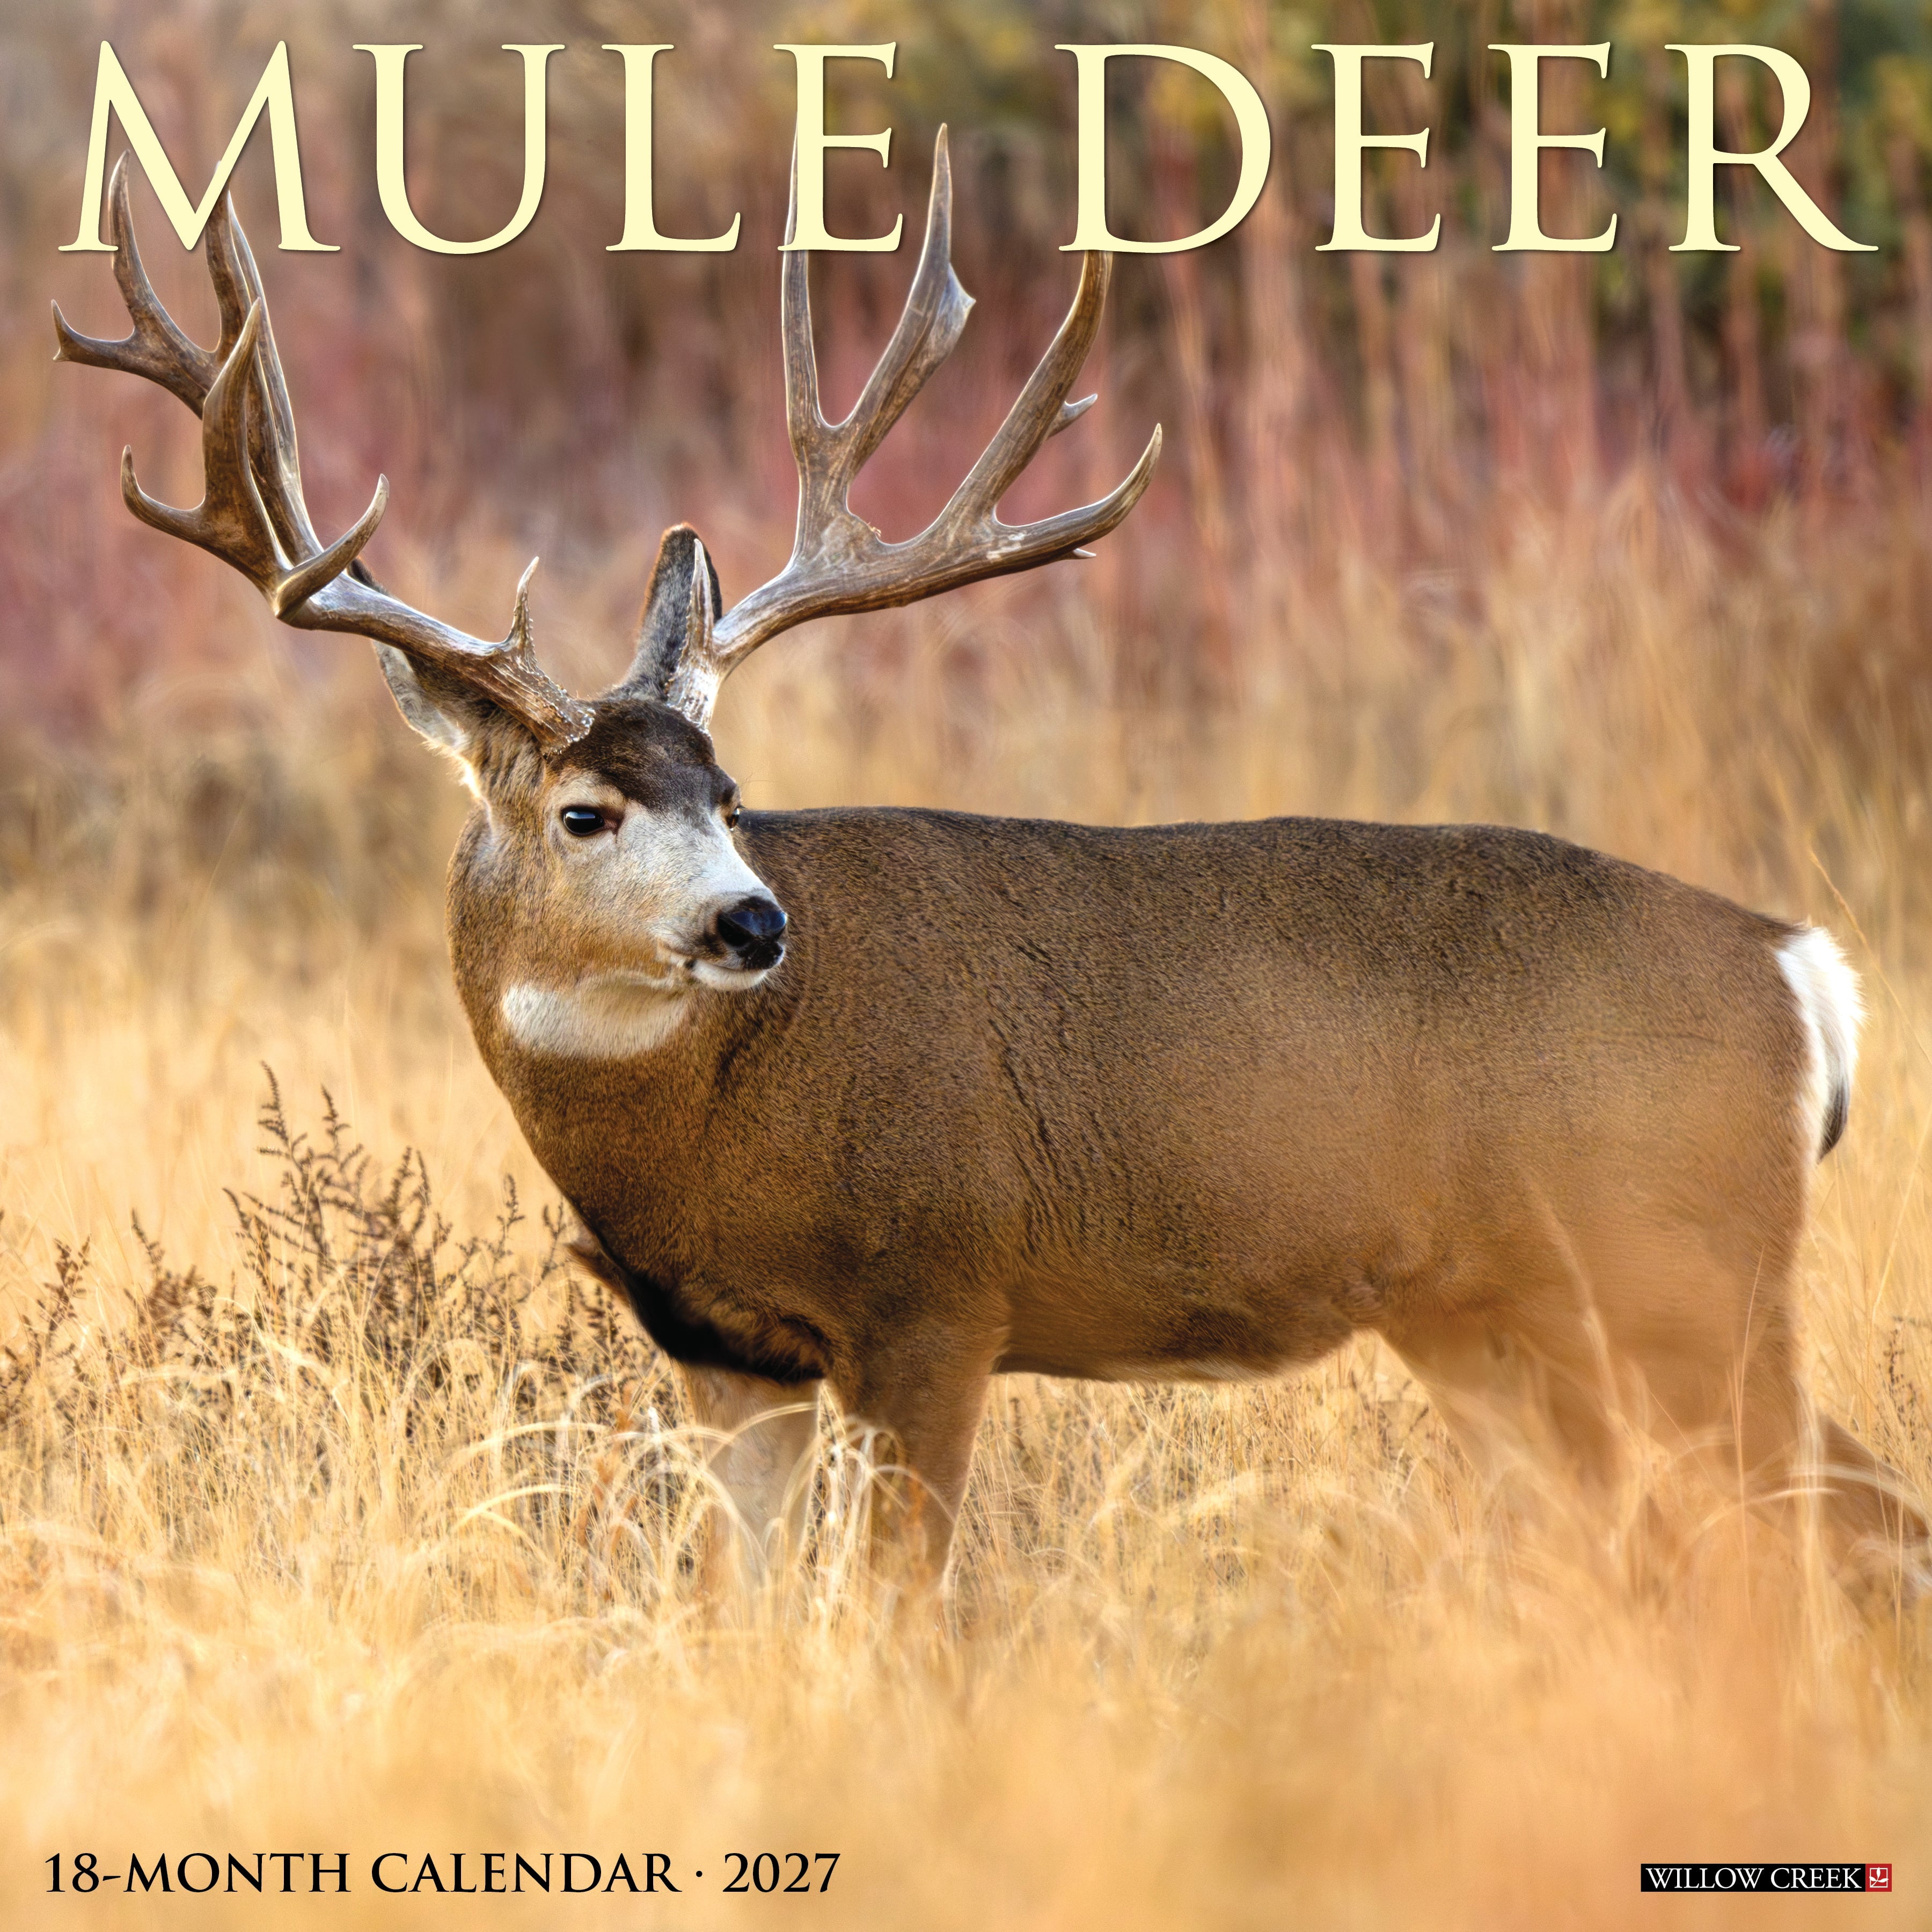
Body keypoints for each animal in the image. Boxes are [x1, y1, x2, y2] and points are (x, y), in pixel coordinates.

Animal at [58, 134, 1927, 1606]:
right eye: (589, 810)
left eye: (728, 790)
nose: (752, 920)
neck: (709, 1130)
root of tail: (1801, 969)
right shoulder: (721, 1353)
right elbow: (740, 1619)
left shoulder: (937, 1291)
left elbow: (897, 1618)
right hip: (1508, 1326)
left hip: (1689, 1277)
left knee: (1848, 1530)